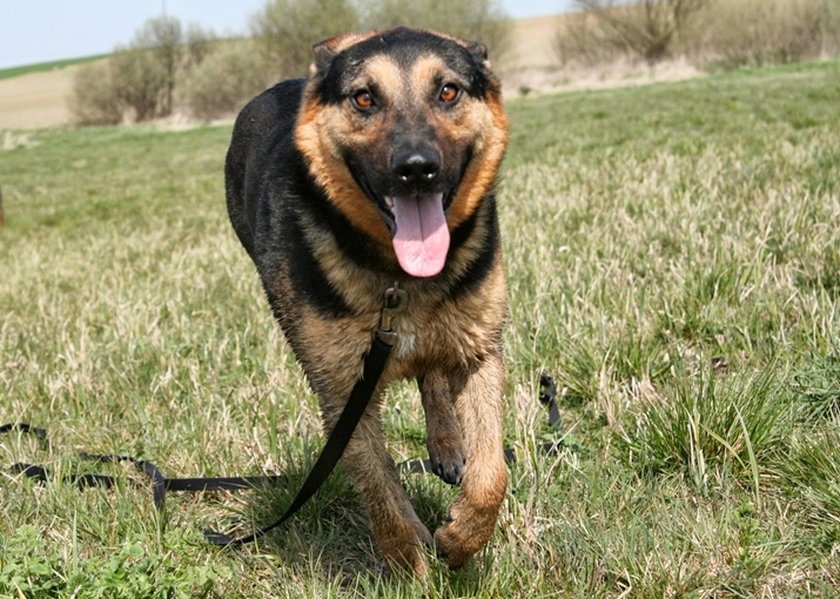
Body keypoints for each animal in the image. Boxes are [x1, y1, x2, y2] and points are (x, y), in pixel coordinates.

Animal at [223, 28, 508, 576]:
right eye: (363, 98)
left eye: (448, 91)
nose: (416, 169)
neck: (400, 276)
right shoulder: (344, 393)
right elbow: (381, 488)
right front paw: (412, 564)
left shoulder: (479, 352)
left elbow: (491, 474)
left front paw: (460, 538)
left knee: (432, 375)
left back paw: (446, 445)